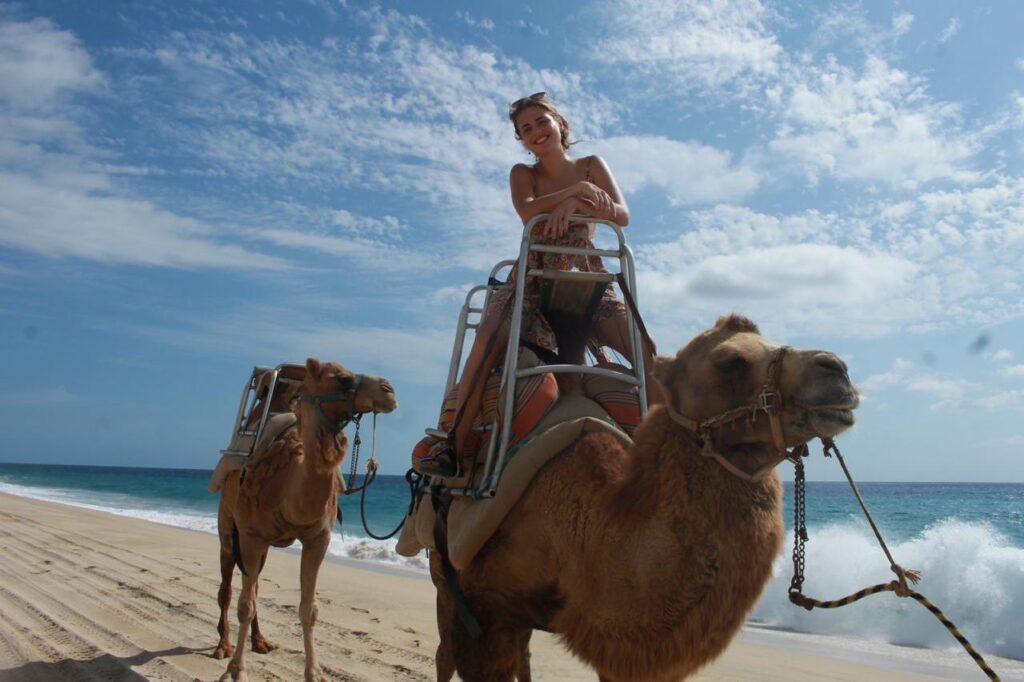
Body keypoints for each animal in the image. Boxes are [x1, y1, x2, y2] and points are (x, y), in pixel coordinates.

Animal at [217, 358, 398, 682]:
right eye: (341, 378)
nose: (388, 390)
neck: (287, 485)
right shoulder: (251, 536)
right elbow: (244, 604)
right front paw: (236, 671)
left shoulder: (318, 537)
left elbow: (308, 608)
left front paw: (314, 673)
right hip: (227, 524)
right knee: (227, 587)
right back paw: (223, 646)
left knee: (256, 584)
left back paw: (260, 641)